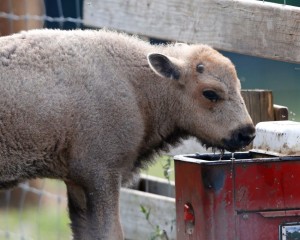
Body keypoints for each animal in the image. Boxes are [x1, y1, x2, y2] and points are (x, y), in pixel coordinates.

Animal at [0, 29, 254, 239]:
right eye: (210, 93)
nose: (247, 133)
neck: (137, 88)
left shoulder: (77, 182)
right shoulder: (102, 176)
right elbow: (109, 233)